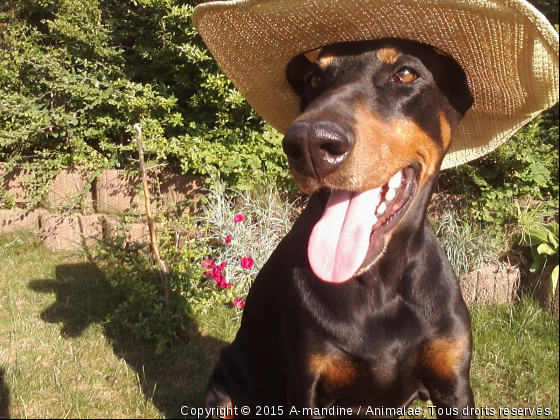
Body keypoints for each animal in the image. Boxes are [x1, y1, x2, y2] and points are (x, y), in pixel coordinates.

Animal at [206, 37, 476, 418]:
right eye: (314, 79)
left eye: (406, 74)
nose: (308, 143)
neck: (379, 285)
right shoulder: (306, 386)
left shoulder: (452, 380)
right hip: (223, 385)